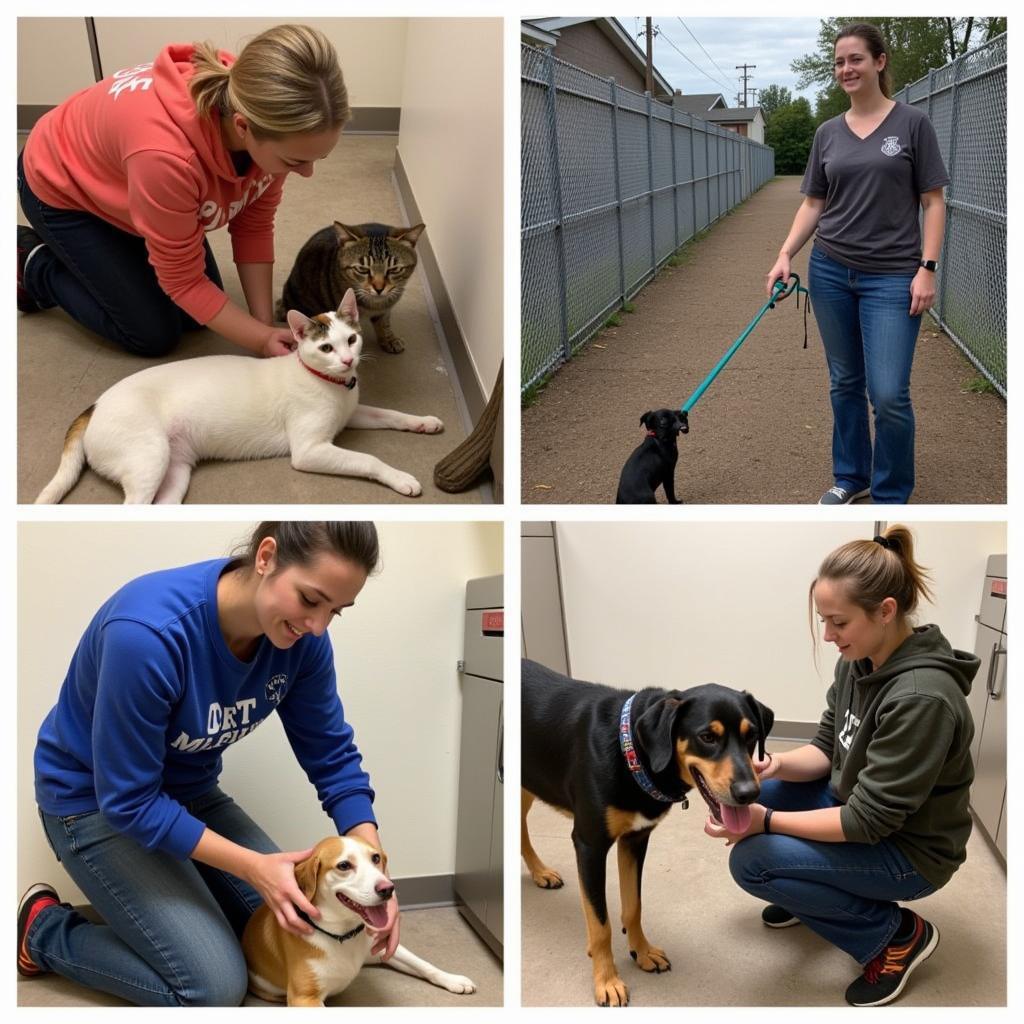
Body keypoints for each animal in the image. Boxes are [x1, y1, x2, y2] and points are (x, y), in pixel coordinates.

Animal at [34, 290, 442, 501]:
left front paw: (423, 422)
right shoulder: (310, 450)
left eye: (352, 340)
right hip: (150, 457)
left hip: (174, 472)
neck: (331, 384)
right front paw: (400, 477)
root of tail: (94, 405)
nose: (347, 361)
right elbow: (369, 459)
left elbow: (391, 415)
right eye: (326, 347)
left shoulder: (353, 414)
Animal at [241, 839, 477, 1007]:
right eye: (344, 865)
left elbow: (424, 965)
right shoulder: (304, 997)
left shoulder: (383, 949)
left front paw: (453, 979)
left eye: (375, 858)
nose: (387, 889)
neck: (343, 935)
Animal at [276, 222, 423, 354]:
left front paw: (389, 339)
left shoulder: (385, 309)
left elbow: (384, 323)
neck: (374, 304)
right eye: (362, 269)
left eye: (394, 269)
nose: (379, 288)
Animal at [524, 659, 770, 1003]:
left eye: (752, 736)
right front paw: (606, 980)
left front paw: (641, 952)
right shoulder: (589, 845)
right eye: (707, 737)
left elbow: (633, 907)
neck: (630, 752)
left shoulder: (635, 839)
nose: (749, 793)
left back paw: (540, 872)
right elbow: (600, 924)